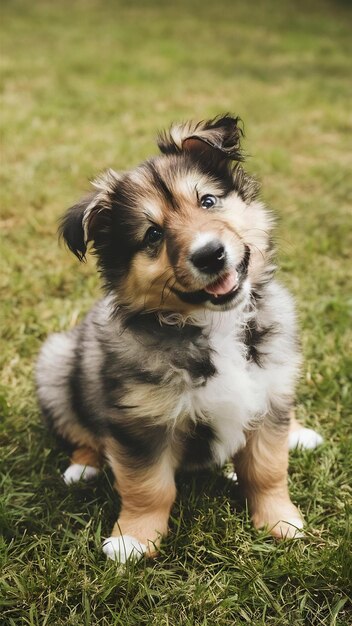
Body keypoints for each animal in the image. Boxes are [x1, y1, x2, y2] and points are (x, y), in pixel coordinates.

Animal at [35, 113, 322, 560]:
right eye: (152, 235)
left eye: (208, 202)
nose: (210, 254)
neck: (216, 324)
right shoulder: (140, 422)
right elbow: (149, 486)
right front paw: (134, 539)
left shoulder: (269, 390)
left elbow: (267, 469)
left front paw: (281, 522)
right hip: (56, 363)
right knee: (81, 431)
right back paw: (83, 466)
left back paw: (298, 434)